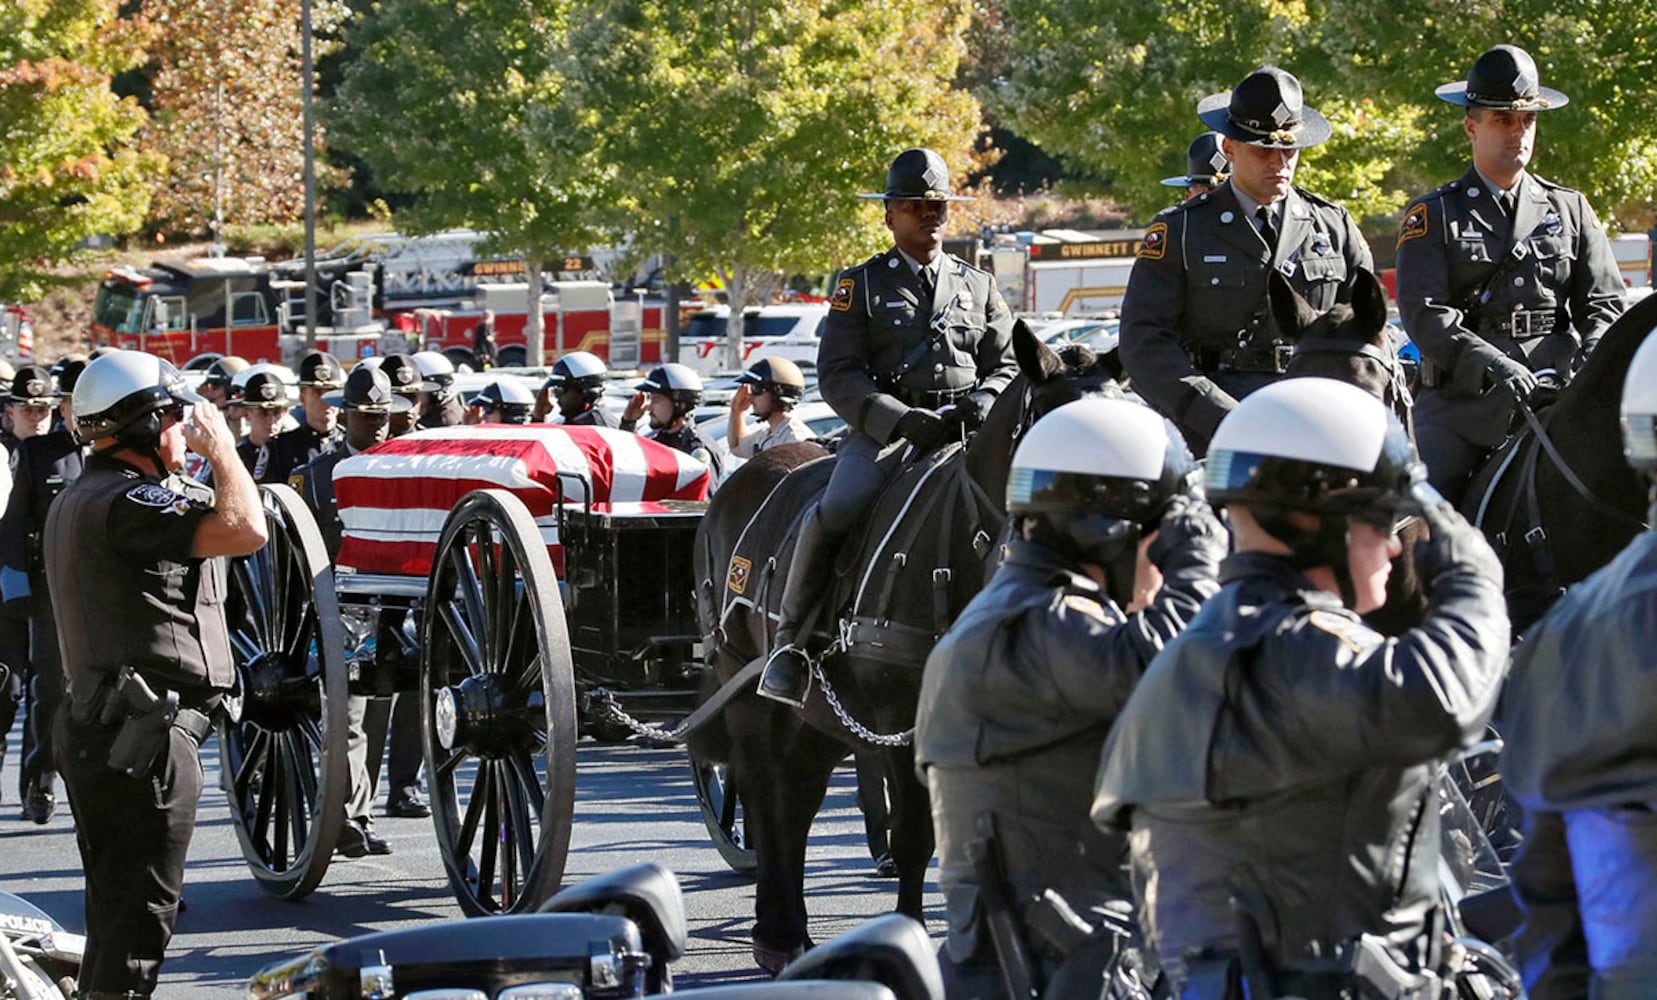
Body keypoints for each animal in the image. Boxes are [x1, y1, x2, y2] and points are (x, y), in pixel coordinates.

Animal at [685, 324, 1113, 973]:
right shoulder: (900, 719)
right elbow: (916, 838)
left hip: (815, 719)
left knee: (796, 800)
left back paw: (791, 931)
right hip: (753, 701)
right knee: (763, 794)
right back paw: (777, 933)